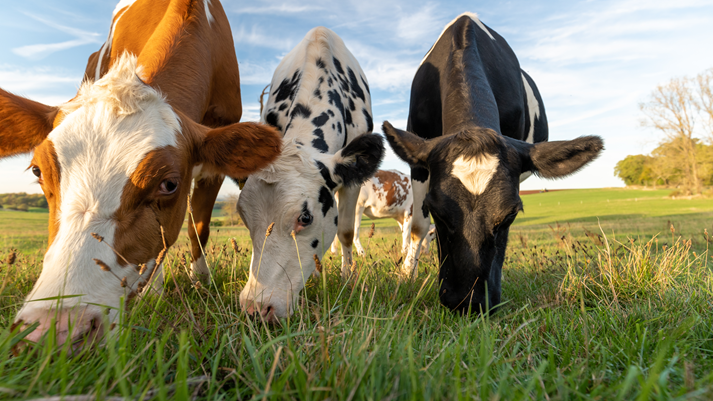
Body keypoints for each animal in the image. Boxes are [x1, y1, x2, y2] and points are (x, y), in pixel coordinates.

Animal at [1, 0, 281, 348]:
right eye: (38, 171)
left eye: (169, 184)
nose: (53, 330)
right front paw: (154, 292)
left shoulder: (215, 157)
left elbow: (197, 229)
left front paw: (201, 282)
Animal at [237, 27, 384, 321]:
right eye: (244, 216)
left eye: (305, 217)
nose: (255, 308)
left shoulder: (352, 181)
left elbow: (346, 231)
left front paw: (347, 279)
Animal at [382, 12, 603, 314]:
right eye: (437, 211)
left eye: (510, 214)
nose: (468, 302)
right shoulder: (418, 157)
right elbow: (417, 227)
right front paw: (406, 277)